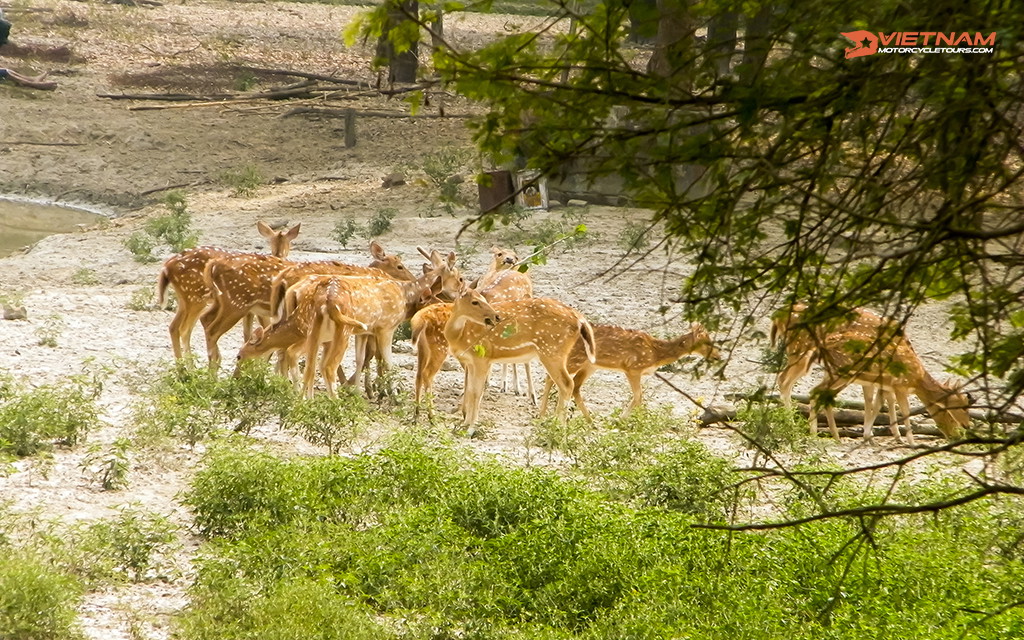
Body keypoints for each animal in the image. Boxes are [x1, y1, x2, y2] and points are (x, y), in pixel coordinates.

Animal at [156, 221, 299, 360]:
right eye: (270, 242)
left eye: (287, 243)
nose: (279, 255)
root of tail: (167, 266)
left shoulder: (252, 311)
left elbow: (250, 335)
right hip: (196, 297)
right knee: (185, 329)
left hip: (186, 298)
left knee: (175, 326)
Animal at [201, 239, 413, 366]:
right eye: (399, 266)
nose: (412, 279)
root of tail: (212, 265)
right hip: (236, 304)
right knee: (212, 329)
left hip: (226, 302)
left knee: (205, 320)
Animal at [444, 288, 598, 423]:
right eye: (475, 302)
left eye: (483, 299)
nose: (496, 316)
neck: (459, 336)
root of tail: (580, 318)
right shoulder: (470, 361)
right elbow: (470, 391)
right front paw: (465, 424)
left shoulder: (482, 358)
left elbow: (476, 392)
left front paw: (470, 427)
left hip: (551, 350)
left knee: (567, 383)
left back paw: (558, 425)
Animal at [536, 321, 720, 417]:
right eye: (706, 341)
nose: (718, 356)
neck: (655, 353)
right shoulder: (633, 368)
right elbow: (638, 397)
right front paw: (625, 420)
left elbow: (638, 397)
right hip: (575, 358)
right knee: (553, 378)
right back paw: (543, 414)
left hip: (590, 365)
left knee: (574, 386)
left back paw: (590, 421)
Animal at [770, 303, 970, 442]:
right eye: (958, 407)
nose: (965, 428)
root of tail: (778, 317)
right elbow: (885, 400)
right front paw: (892, 436)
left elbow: (876, 400)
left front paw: (883, 434)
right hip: (801, 349)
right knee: (784, 381)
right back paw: (793, 426)